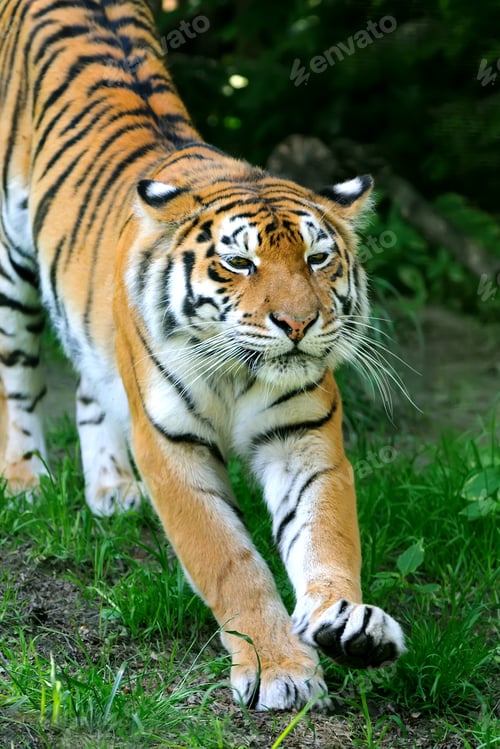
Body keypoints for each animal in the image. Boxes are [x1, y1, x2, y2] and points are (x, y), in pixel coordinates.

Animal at [0, 0, 405, 711]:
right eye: (240, 263)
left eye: (317, 258)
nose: (297, 323)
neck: (241, 373)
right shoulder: (170, 446)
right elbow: (230, 563)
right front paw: (279, 670)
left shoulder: (306, 440)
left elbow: (326, 541)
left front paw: (347, 625)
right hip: (11, 260)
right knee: (16, 375)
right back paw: (24, 480)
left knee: (89, 382)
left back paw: (110, 487)